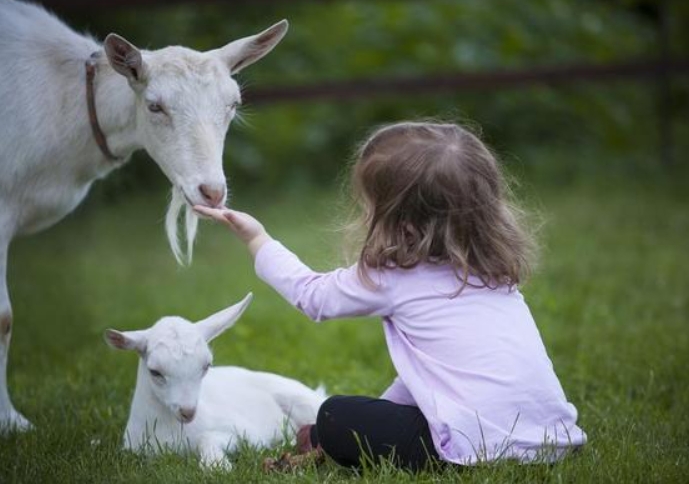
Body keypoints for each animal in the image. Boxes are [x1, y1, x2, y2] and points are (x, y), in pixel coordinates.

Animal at [103, 294, 326, 468]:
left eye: (206, 366)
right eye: (155, 372)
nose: (188, 411)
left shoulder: (247, 433)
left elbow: (209, 437)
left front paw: (216, 465)